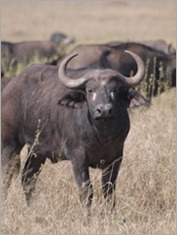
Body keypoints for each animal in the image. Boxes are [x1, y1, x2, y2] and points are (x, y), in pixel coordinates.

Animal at [2, 51, 147, 215]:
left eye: (114, 90)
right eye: (90, 90)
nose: (103, 110)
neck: (101, 136)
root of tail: (9, 88)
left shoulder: (116, 158)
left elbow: (109, 190)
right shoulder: (78, 157)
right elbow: (86, 190)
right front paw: (87, 216)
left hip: (37, 150)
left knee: (28, 177)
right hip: (9, 144)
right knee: (6, 176)